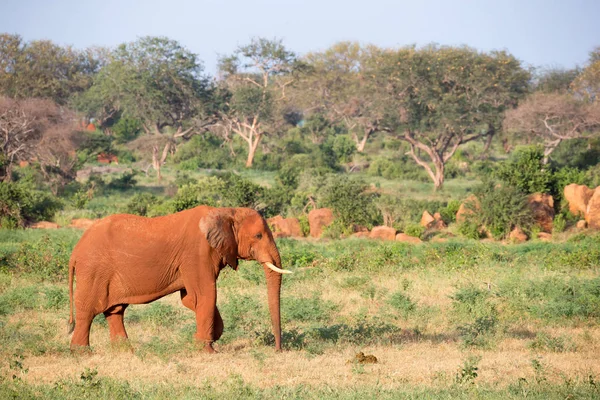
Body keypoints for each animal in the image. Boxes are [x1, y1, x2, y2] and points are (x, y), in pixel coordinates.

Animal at [67, 206, 292, 354]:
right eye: (259, 236)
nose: (277, 351)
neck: (226, 211)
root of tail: (75, 251)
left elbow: (190, 299)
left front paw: (205, 338)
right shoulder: (198, 253)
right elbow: (205, 295)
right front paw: (207, 350)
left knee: (115, 311)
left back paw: (125, 351)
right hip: (94, 269)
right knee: (88, 310)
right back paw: (82, 353)